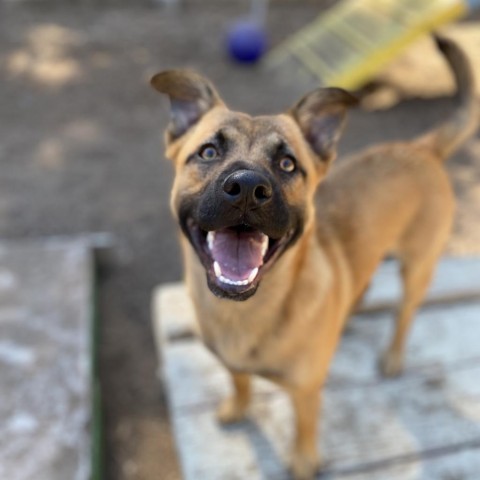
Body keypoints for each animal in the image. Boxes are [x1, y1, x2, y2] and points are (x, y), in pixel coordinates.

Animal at [149, 37, 476, 480]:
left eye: (288, 163)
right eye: (208, 151)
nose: (247, 188)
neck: (245, 314)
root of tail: (419, 148)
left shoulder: (305, 391)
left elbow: (305, 426)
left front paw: (303, 461)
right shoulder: (231, 363)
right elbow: (239, 381)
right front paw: (237, 407)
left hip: (418, 266)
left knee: (405, 313)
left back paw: (392, 356)